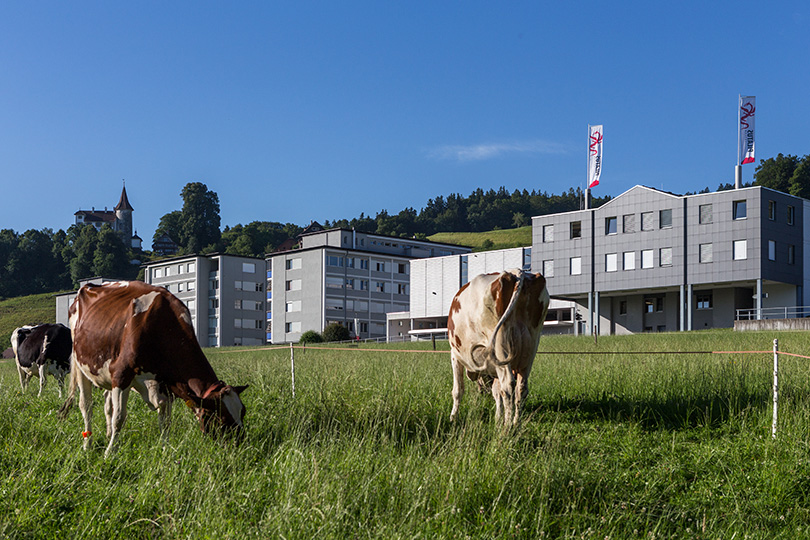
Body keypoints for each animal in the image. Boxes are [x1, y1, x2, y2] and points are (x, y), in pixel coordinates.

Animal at [60, 282, 246, 456]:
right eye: (222, 419)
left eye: (243, 412)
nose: (239, 446)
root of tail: (89, 286)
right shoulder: (121, 375)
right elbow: (119, 417)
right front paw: (110, 452)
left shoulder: (167, 385)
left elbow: (165, 421)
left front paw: (165, 449)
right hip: (80, 364)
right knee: (87, 406)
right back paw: (88, 444)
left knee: (108, 405)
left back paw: (107, 435)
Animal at [446, 270, 552, 426]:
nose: (482, 390)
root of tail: (516, 273)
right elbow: (497, 391)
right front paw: (498, 417)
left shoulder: (455, 355)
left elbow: (457, 390)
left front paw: (453, 417)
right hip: (530, 349)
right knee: (521, 388)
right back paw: (516, 422)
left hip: (501, 347)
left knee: (508, 386)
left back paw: (507, 426)